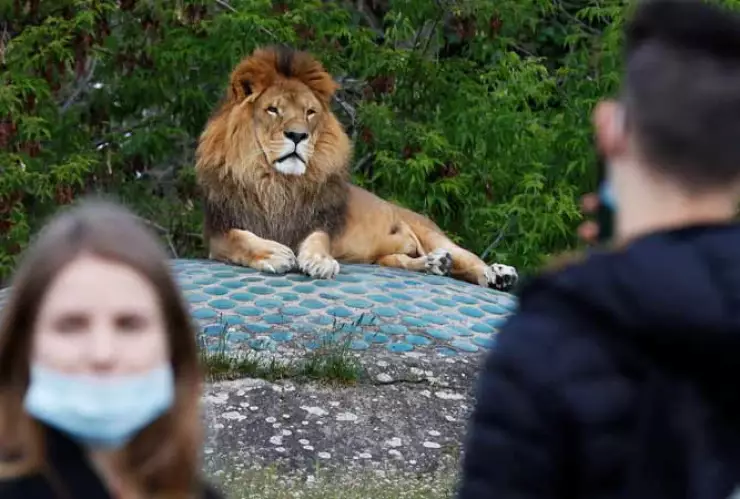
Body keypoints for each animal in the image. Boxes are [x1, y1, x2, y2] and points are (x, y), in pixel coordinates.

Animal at [194, 45, 518, 291]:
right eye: (273, 110)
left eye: (309, 112)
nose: (298, 135)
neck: (277, 182)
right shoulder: (218, 231)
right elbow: (239, 238)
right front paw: (275, 252)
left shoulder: (320, 221)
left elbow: (318, 239)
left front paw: (319, 261)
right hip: (388, 257)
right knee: (407, 261)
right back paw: (435, 264)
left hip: (431, 233)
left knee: (470, 260)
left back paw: (498, 274)